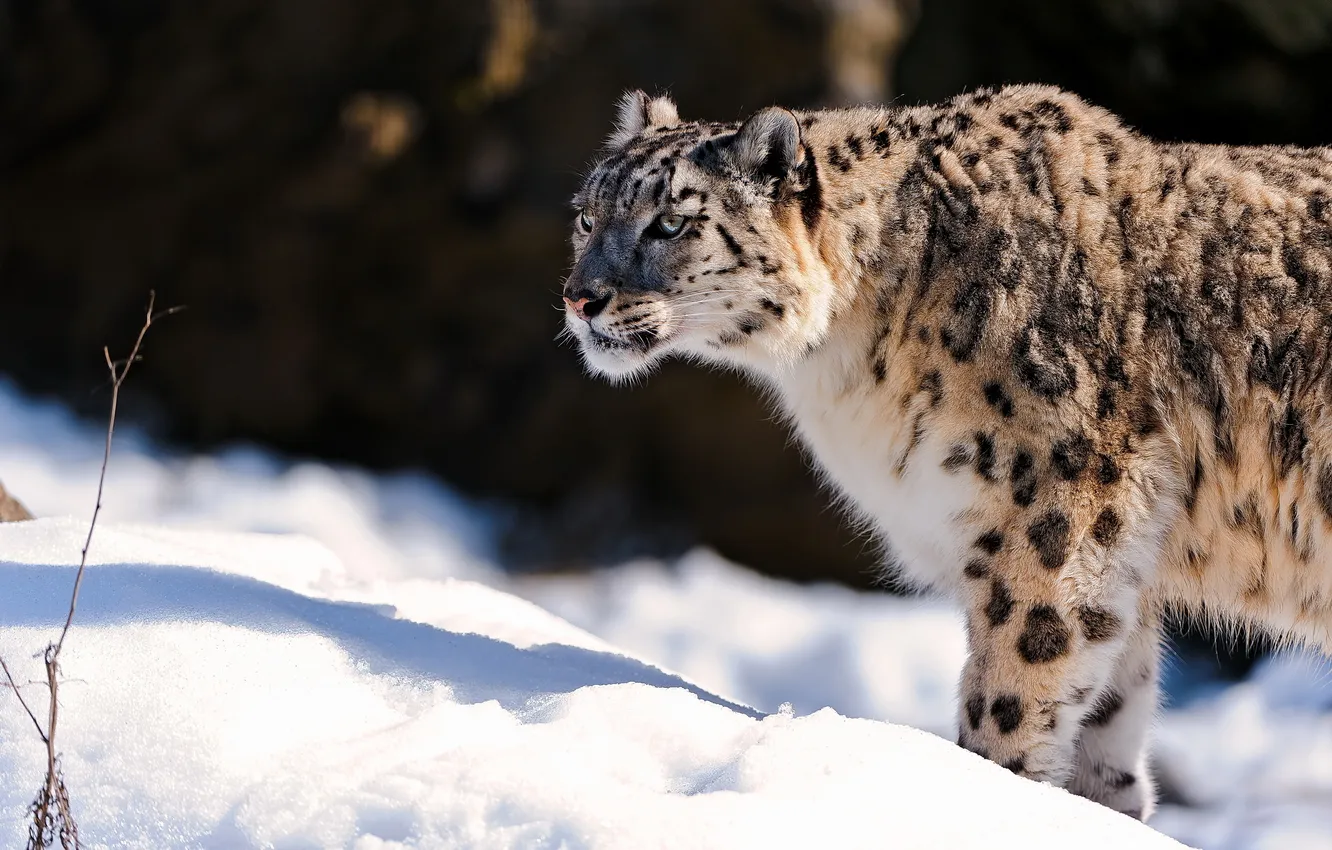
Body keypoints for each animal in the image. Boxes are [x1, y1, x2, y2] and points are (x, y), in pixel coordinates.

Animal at [559, 84, 1332, 820]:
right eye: (587, 216)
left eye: (670, 221)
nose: (579, 297)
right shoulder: (1120, 573)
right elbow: (1108, 728)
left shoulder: (1053, 522)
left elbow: (1012, 695)